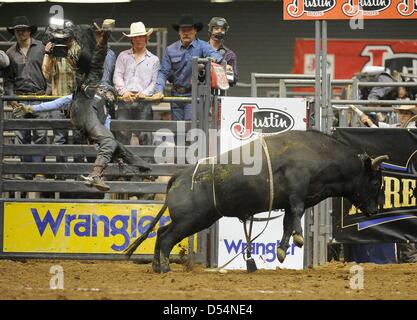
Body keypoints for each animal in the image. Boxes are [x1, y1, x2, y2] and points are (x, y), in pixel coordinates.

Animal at [124, 130, 386, 272]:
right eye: (375, 182)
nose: (376, 209)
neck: (319, 155)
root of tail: (179, 175)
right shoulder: (297, 191)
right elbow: (296, 215)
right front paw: (299, 239)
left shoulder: (291, 203)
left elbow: (288, 223)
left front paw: (282, 250)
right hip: (190, 219)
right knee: (167, 237)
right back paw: (165, 267)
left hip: (193, 219)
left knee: (161, 233)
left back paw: (156, 266)